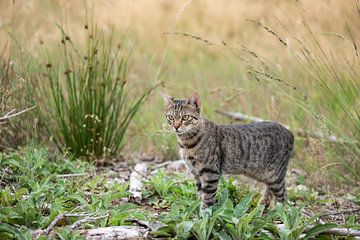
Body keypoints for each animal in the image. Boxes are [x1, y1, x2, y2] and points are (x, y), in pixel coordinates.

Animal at [162, 93, 294, 209]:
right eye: (171, 117)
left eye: (185, 117)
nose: (176, 126)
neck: (186, 143)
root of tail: (289, 132)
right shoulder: (195, 172)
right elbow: (201, 193)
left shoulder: (210, 172)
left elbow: (208, 197)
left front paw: (205, 214)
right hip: (264, 175)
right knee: (271, 189)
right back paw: (262, 205)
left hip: (275, 176)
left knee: (283, 197)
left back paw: (278, 212)